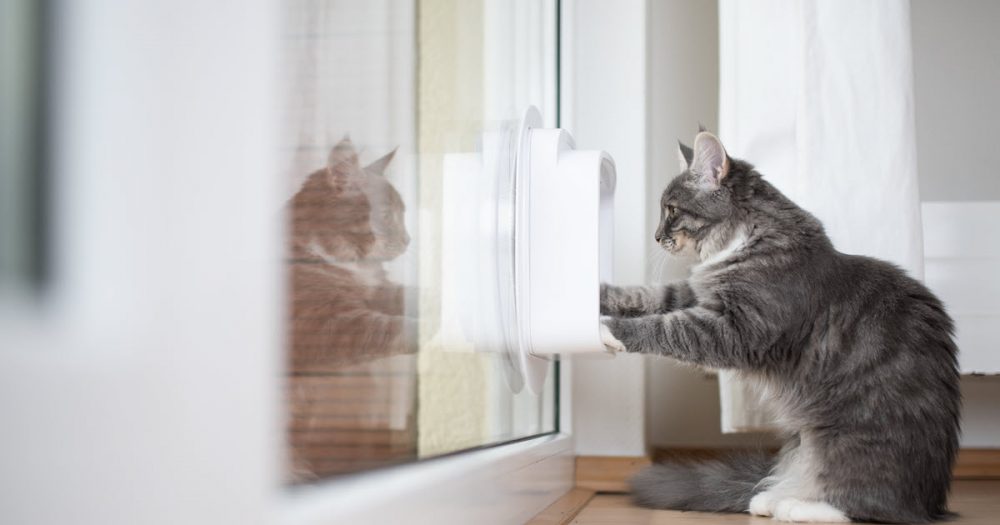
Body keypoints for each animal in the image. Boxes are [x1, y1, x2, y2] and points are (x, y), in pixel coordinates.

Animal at [600, 130, 960, 520]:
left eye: (672, 210)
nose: (655, 235)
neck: (743, 240)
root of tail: (932, 503)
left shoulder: (735, 329)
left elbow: (662, 328)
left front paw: (609, 330)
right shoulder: (697, 296)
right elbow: (645, 296)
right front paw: (597, 295)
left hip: (848, 441)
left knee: (865, 505)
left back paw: (799, 507)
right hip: (804, 442)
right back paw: (770, 498)